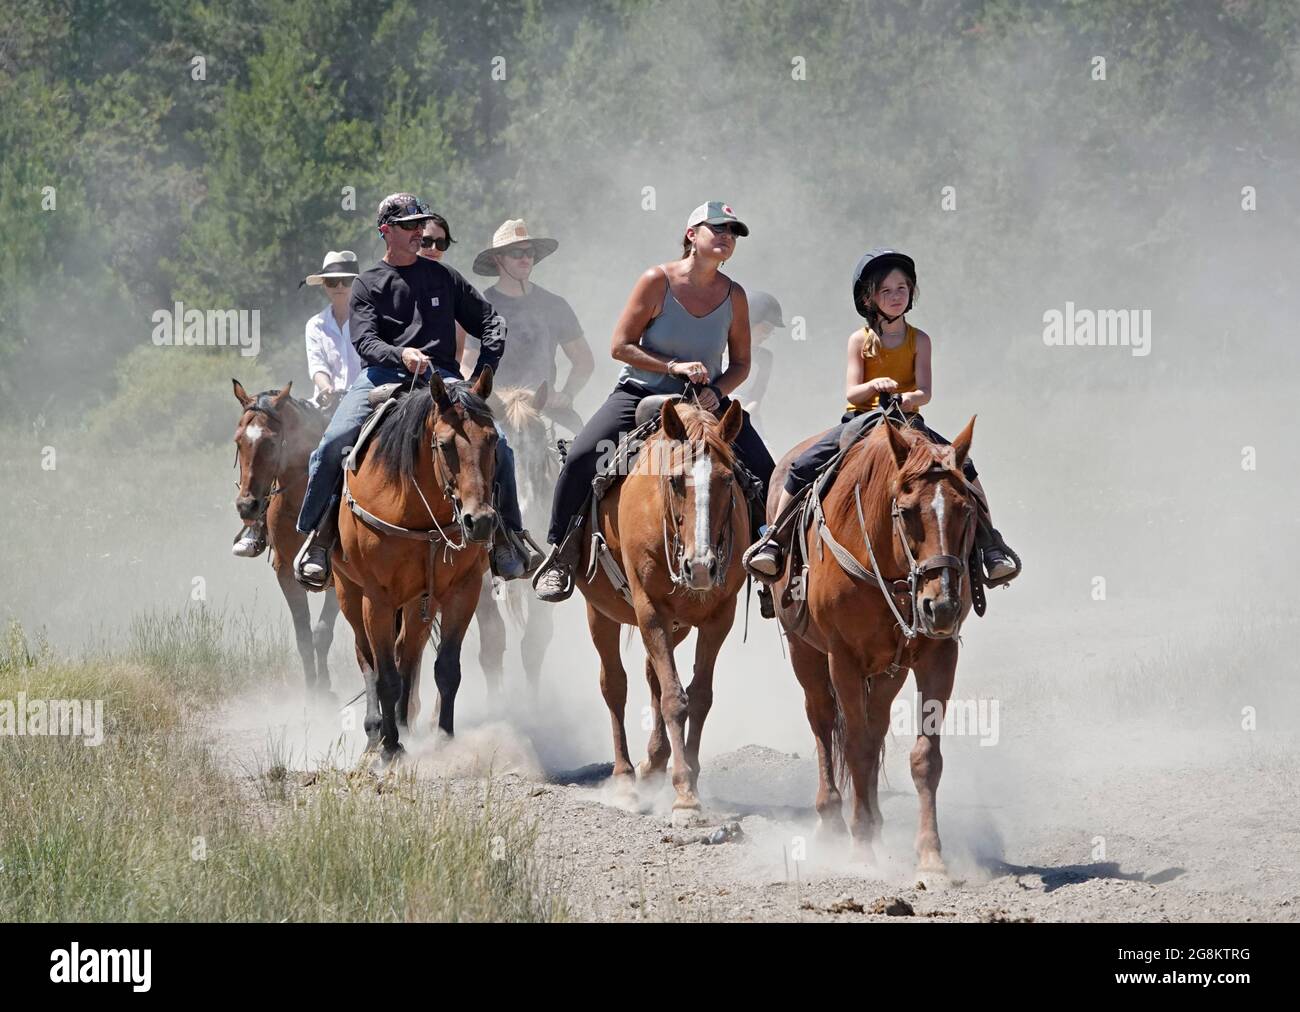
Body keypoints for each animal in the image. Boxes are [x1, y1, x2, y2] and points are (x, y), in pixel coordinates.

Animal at [231, 382, 340, 697]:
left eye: (270, 442)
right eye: (238, 441)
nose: (247, 506)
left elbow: (322, 633)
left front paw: (325, 689)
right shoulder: (285, 573)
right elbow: (304, 637)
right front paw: (313, 693)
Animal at [332, 366, 499, 759]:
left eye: (493, 440)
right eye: (445, 444)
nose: (480, 521)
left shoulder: (462, 590)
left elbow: (447, 668)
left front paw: (445, 738)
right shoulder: (377, 599)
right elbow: (384, 674)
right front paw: (391, 748)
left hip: (418, 601)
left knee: (408, 652)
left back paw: (404, 724)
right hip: (349, 593)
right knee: (368, 658)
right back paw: (376, 733)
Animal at [582, 395, 754, 822]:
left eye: (728, 479)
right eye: (675, 480)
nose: (700, 566)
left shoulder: (718, 618)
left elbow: (700, 696)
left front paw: (686, 775)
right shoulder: (650, 610)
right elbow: (676, 699)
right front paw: (685, 795)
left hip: (679, 625)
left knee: (651, 677)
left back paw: (653, 763)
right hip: (601, 611)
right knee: (615, 684)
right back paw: (625, 778)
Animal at [769, 413, 977, 879]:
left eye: (966, 510)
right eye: (907, 511)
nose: (941, 606)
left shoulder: (939, 655)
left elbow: (925, 757)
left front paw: (931, 858)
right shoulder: (842, 658)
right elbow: (856, 748)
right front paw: (861, 848)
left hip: (888, 670)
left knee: (875, 723)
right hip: (805, 652)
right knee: (823, 721)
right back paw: (832, 820)